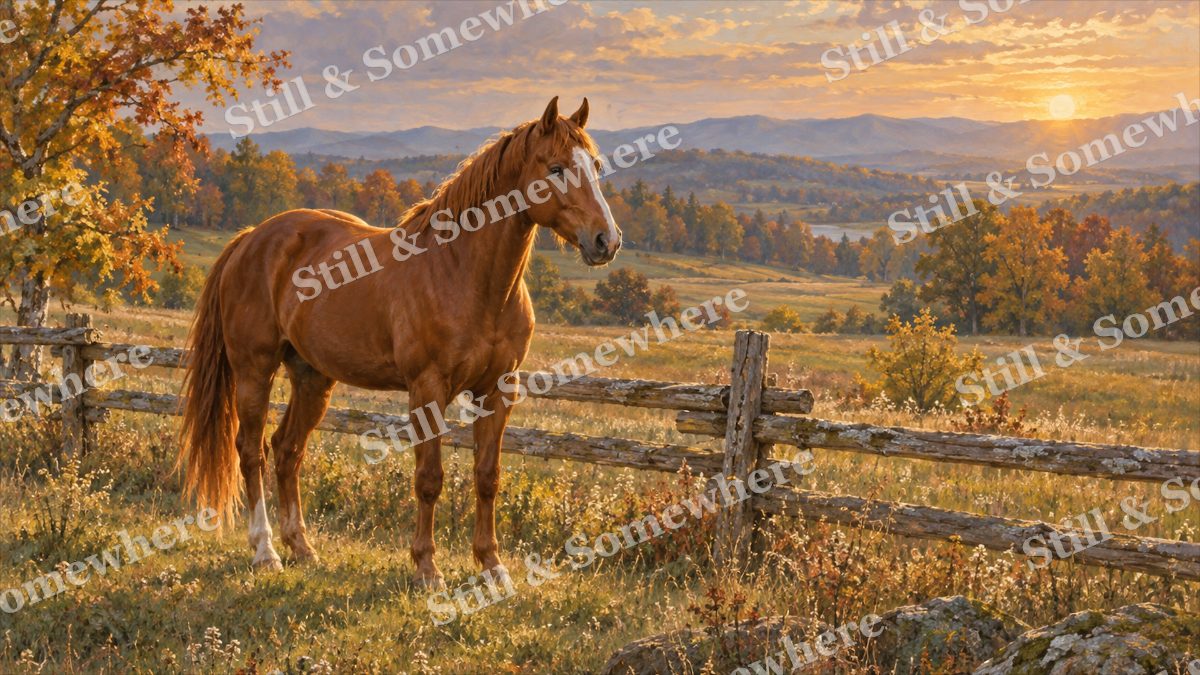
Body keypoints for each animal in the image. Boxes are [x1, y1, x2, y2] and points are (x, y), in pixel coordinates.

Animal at [178, 97, 621, 588]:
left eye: (595, 165)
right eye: (557, 167)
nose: (606, 240)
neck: (464, 274)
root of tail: (251, 238)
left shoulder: (499, 390)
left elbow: (488, 476)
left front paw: (492, 566)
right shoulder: (427, 389)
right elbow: (429, 478)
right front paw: (427, 567)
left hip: (312, 378)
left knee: (287, 450)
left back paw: (302, 547)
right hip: (254, 370)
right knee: (251, 452)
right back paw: (266, 551)